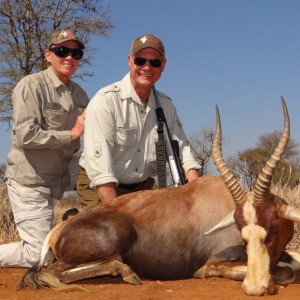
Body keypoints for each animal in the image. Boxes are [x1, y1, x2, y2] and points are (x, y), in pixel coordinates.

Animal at [18, 98, 300, 296]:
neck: (220, 198)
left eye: (271, 230)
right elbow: (287, 271)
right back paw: (128, 273)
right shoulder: (210, 264)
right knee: (51, 273)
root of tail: (58, 230)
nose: (254, 288)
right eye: (244, 234)